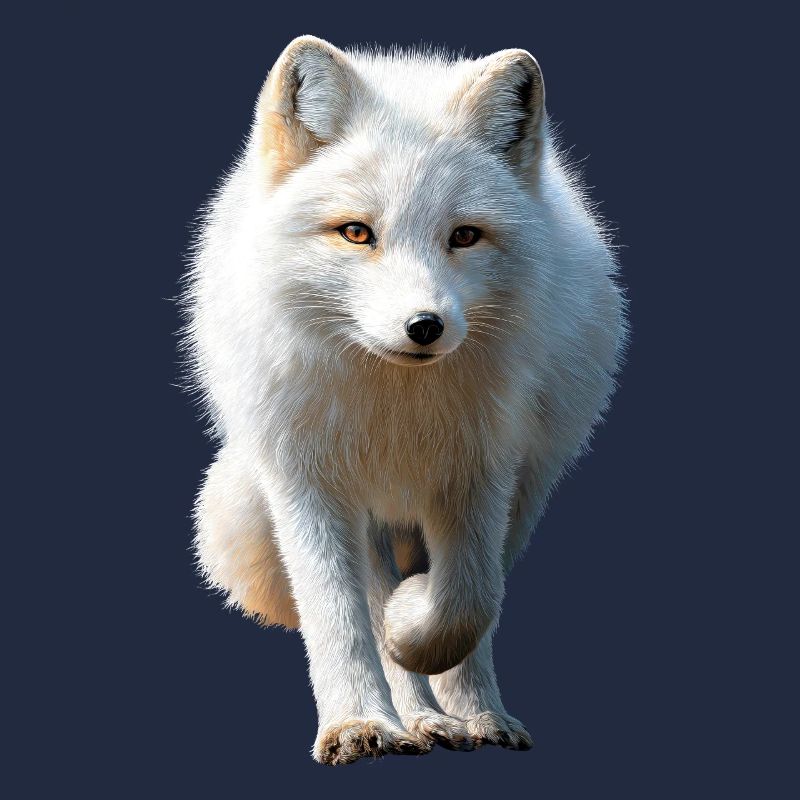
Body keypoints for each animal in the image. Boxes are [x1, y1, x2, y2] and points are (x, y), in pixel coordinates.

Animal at [181, 35, 627, 765]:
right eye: (357, 233)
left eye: (465, 236)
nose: (425, 327)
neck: (397, 409)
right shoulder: (309, 478)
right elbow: (338, 613)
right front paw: (360, 721)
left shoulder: (482, 468)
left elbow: (469, 599)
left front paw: (419, 641)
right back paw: (413, 717)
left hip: (529, 486)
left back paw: (467, 715)